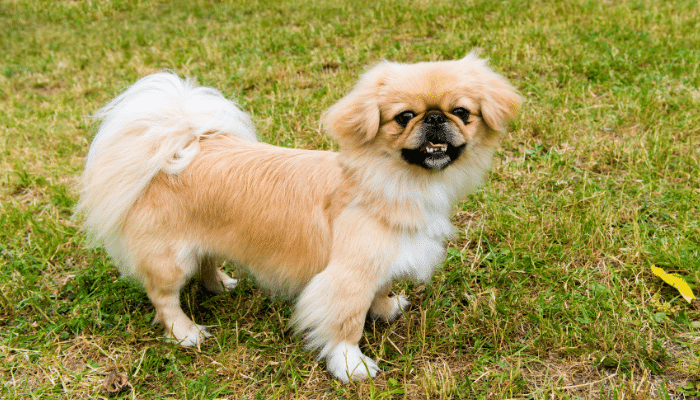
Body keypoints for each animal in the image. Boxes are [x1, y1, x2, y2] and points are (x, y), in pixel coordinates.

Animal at [79, 53, 524, 382]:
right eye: (403, 116)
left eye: (461, 111)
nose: (434, 118)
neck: (392, 182)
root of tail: (177, 146)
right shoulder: (347, 275)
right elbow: (346, 323)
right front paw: (352, 367)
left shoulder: (384, 259)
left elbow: (379, 290)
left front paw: (385, 308)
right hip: (170, 259)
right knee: (164, 297)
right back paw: (185, 332)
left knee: (206, 262)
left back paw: (219, 285)